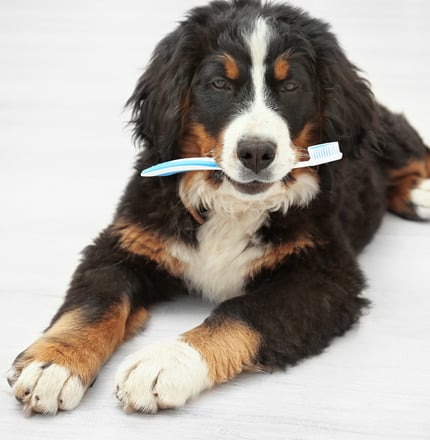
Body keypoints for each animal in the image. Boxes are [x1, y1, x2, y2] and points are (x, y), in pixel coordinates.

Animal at [9, 0, 430, 416]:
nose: (256, 152)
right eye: (219, 84)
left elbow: (241, 313)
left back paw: (420, 194)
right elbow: (96, 302)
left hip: (387, 135)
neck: (231, 207)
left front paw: (166, 363)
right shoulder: (126, 240)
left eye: (292, 86)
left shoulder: (325, 275)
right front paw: (55, 363)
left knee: (413, 152)